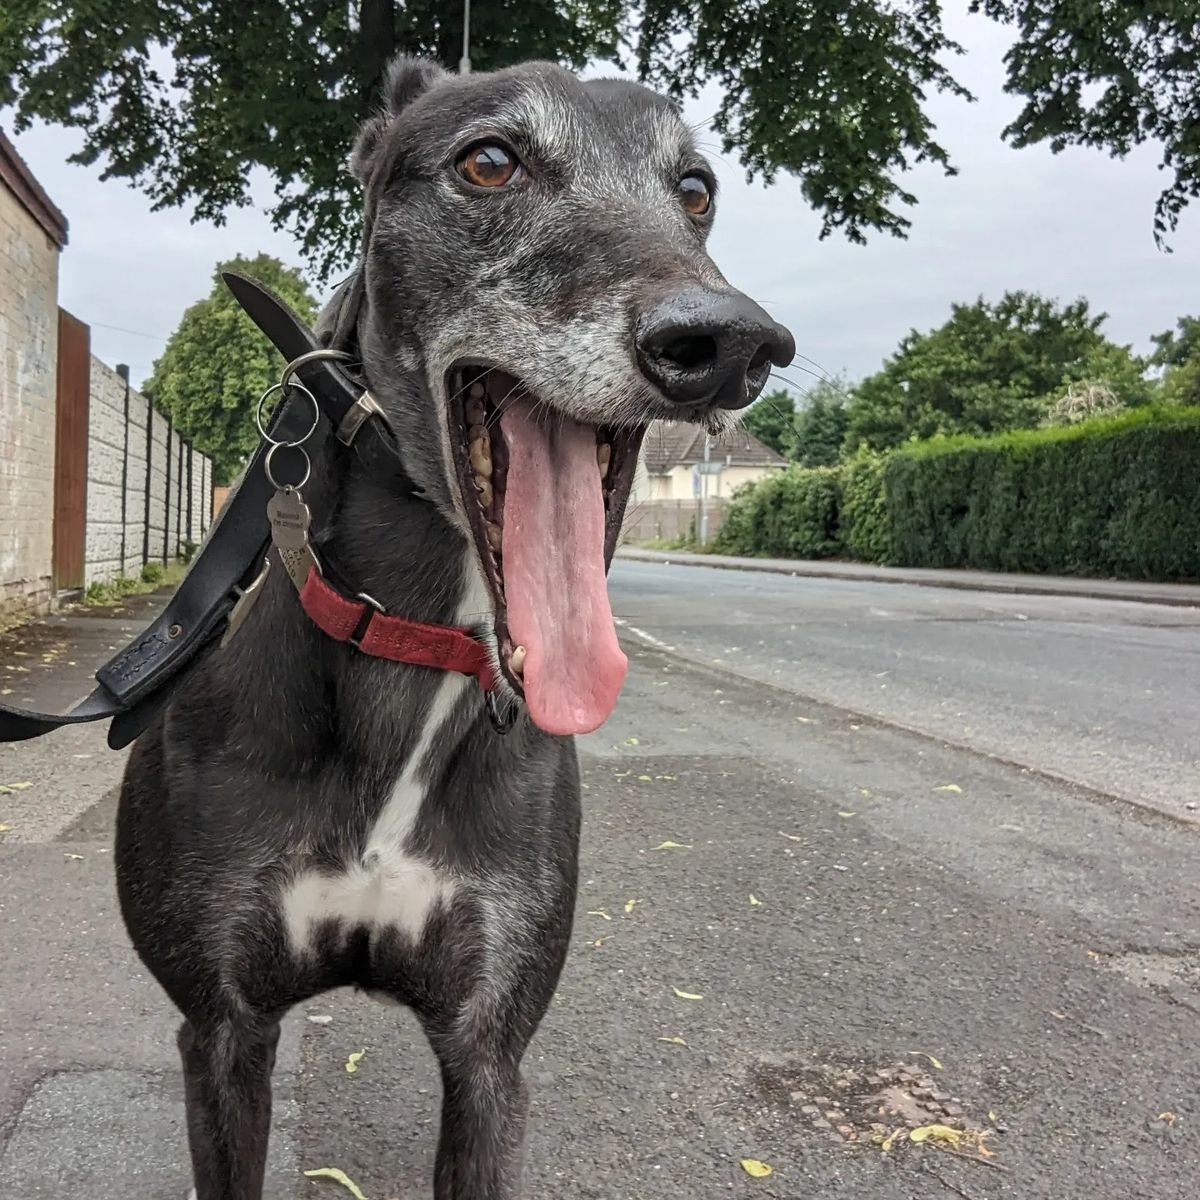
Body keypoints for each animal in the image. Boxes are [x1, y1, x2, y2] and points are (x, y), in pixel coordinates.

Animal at [114, 56, 796, 1200]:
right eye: (489, 161)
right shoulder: (223, 1032)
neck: (410, 648)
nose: (728, 343)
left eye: (696, 187)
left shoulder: (490, 1052)